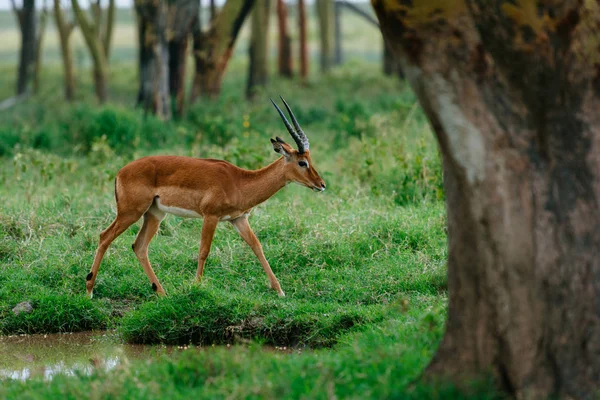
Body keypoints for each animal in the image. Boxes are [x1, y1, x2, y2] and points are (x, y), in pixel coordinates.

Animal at [85, 97, 324, 296]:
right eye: (302, 162)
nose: (321, 185)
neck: (239, 181)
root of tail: (120, 172)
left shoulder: (239, 219)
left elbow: (257, 247)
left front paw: (280, 291)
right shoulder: (210, 216)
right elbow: (203, 251)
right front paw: (196, 286)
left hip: (154, 214)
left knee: (139, 246)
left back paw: (162, 293)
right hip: (131, 212)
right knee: (105, 237)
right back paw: (89, 291)